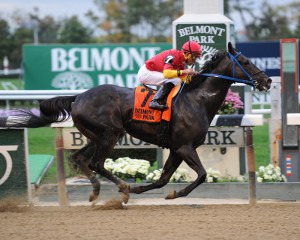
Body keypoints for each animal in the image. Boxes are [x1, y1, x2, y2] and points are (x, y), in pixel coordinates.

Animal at [0, 42, 272, 202]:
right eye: (245, 62)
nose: (267, 81)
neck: (197, 100)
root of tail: (79, 97)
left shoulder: (177, 148)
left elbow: (163, 179)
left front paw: (157, 191)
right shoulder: (184, 147)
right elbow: (203, 175)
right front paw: (169, 192)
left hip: (96, 135)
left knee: (79, 158)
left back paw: (97, 190)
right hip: (110, 134)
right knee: (96, 163)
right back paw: (120, 186)